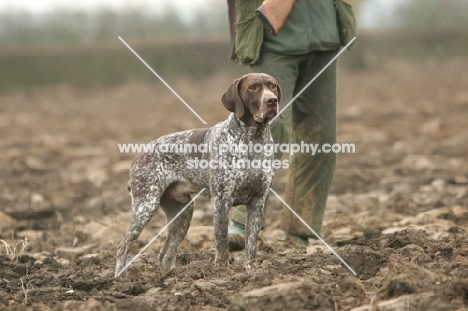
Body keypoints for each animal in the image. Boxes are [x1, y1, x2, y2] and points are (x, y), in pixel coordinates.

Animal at [115, 73, 282, 278]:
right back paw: (120, 278)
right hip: (146, 205)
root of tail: (138, 155)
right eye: (253, 87)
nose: (272, 101)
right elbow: (222, 242)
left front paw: (250, 272)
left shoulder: (258, 201)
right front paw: (222, 272)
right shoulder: (221, 200)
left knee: (166, 253)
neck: (254, 139)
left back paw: (168, 276)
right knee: (123, 246)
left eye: (272, 86)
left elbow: (251, 244)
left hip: (183, 213)